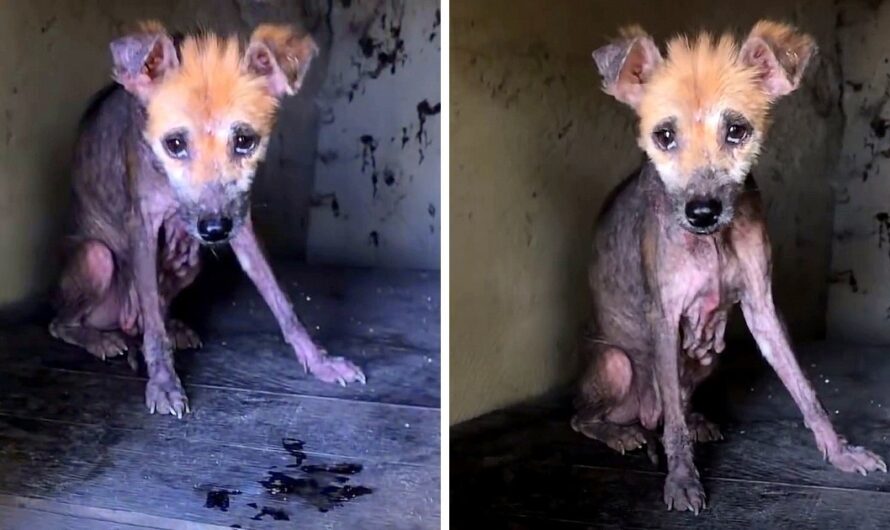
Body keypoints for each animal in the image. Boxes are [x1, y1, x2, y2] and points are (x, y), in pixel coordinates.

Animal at [50, 19, 362, 416]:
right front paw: (163, 382)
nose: (214, 230)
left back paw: (172, 328)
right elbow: (152, 327)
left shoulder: (240, 222)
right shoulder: (143, 226)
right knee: (63, 322)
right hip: (97, 258)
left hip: (191, 263)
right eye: (174, 144)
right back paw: (98, 338)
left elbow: (281, 301)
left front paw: (319, 361)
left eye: (244, 140)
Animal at [572, 20, 884, 512]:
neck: (712, 244)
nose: (702, 212)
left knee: (677, 402)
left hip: (706, 358)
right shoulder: (664, 319)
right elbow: (673, 428)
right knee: (589, 416)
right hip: (617, 363)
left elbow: (805, 389)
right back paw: (620, 432)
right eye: (664, 136)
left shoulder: (763, 306)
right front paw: (682, 479)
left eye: (737, 130)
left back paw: (696, 419)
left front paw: (840, 452)